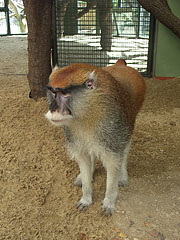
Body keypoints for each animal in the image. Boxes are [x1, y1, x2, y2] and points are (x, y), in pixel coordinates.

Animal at [45, 60, 146, 216]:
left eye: (64, 94)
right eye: (53, 93)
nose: (53, 109)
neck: (89, 110)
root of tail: (120, 65)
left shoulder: (112, 128)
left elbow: (113, 163)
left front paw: (109, 201)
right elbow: (84, 158)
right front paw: (86, 197)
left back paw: (122, 174)